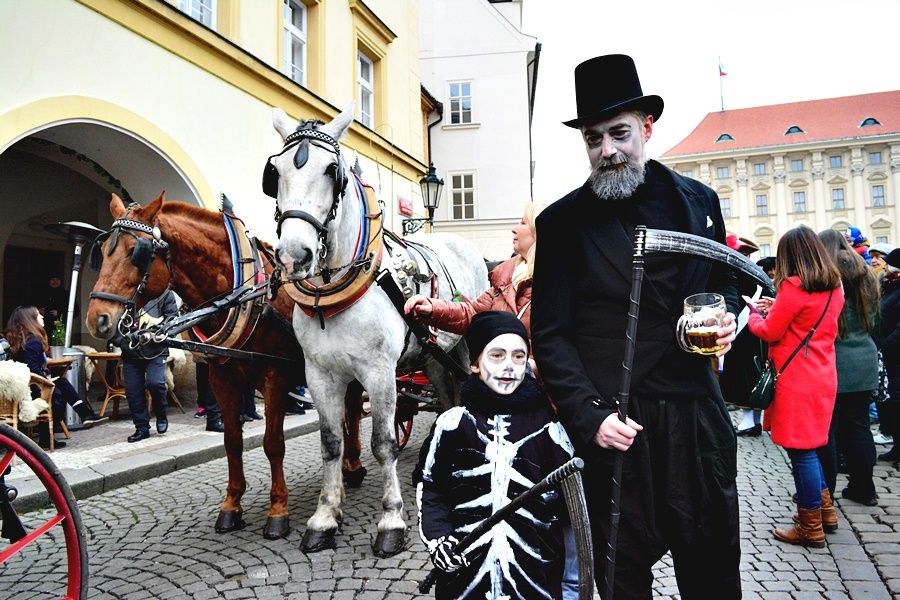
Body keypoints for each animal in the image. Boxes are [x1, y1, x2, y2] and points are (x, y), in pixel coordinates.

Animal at [84, 192, 366, 540]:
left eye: (136, 253)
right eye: (102, 252)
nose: (97, 319)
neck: (240, 296)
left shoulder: (275, 376)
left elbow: (273, 443)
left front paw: (278, 510)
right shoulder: (222, 378)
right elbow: (232, 442)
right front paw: (231, 506)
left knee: (352, 414)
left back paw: (353, 466)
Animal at [268, 104, 488, 556]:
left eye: (332, 170)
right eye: (274, 172)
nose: (294, 255)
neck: (333, 293)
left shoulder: (380, 373)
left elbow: (383, 444)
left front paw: (391, 521)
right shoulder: (320, 374)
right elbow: (331, 442)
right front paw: (325, 517)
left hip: (461, 344)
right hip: (431, 353)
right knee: (445, 401)